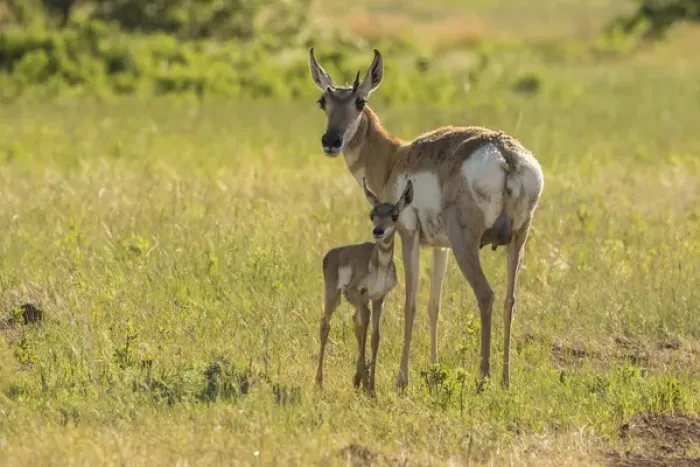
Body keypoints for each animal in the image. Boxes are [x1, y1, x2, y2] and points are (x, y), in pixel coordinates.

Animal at [317, 178, 414, 395]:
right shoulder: (356, 293)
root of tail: (330, 254)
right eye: (372, 214)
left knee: (356, 321)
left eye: (395, 215)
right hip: (333, 295)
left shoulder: (378, 298)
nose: (378, 231)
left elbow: (375, 336)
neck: (378, 266)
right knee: (326, 324)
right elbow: (366, 321)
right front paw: (363, 378)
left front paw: (371, 387)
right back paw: (318, 382)